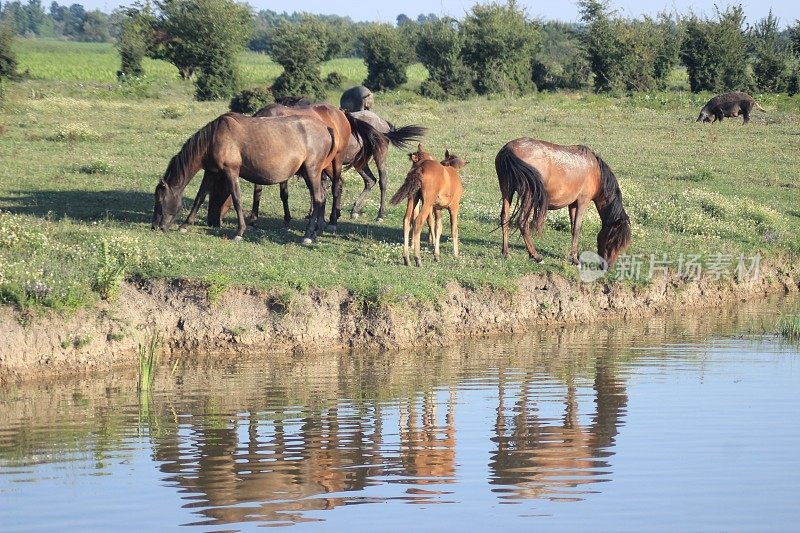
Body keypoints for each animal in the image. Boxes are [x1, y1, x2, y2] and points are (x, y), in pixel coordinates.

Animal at [154, 114, 338, 245]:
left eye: (160, 201)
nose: (156, 226)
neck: (214, 137)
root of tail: (326, 127)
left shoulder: (231, 172)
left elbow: (236, 199)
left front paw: (240, 232)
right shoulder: (211, 172)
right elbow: (199, 197)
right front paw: (185, 225)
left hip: (312, 171)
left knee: (318, 198)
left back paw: (307, 235)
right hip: (310, 173)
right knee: (322, 197)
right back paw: (315, 233)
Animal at [494, 138, 632, 266]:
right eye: (613, 240)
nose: (608, 266)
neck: (596, 172)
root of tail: (508, 149)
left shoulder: (573, 204)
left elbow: (572, 228)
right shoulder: (583, 201)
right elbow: (577, 228)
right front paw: (575, 259)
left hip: (507, 191)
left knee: (505, 218)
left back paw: (506, 253)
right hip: (529, 196)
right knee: (522, 222)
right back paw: (536, 256)